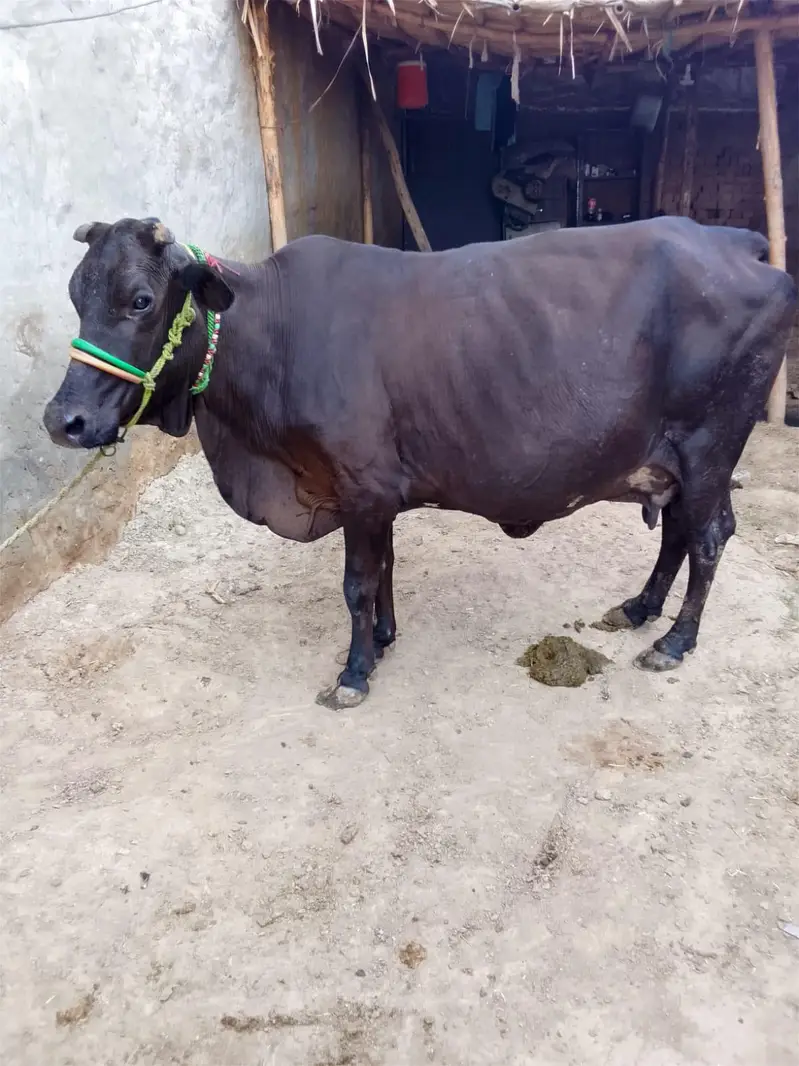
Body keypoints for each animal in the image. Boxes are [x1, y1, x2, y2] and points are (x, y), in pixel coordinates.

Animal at [43, 216, 796, 709]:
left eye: (141, 300)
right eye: (76, 295)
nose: (63, 420)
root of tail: (736, 241)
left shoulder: (359, 486)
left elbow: (356, 582)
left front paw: (354, 673)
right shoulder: (373, 493)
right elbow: (383, 571)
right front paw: (383, 638)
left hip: (709, 446)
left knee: (706, 536)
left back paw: (673, 641)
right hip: (674, 460)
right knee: (680, 533)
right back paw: (639, 608)